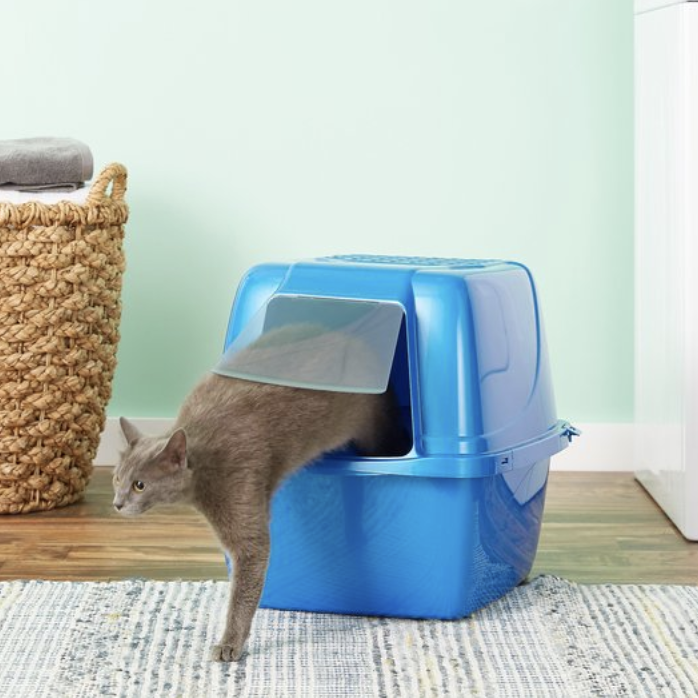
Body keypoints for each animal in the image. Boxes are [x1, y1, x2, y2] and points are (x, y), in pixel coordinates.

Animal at [110, 368, 402, 660]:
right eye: (117, 478)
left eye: (139, 485)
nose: (117, 503)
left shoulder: (237, 487)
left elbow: (244, 585)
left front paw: (229, 644)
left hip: (375, 427)